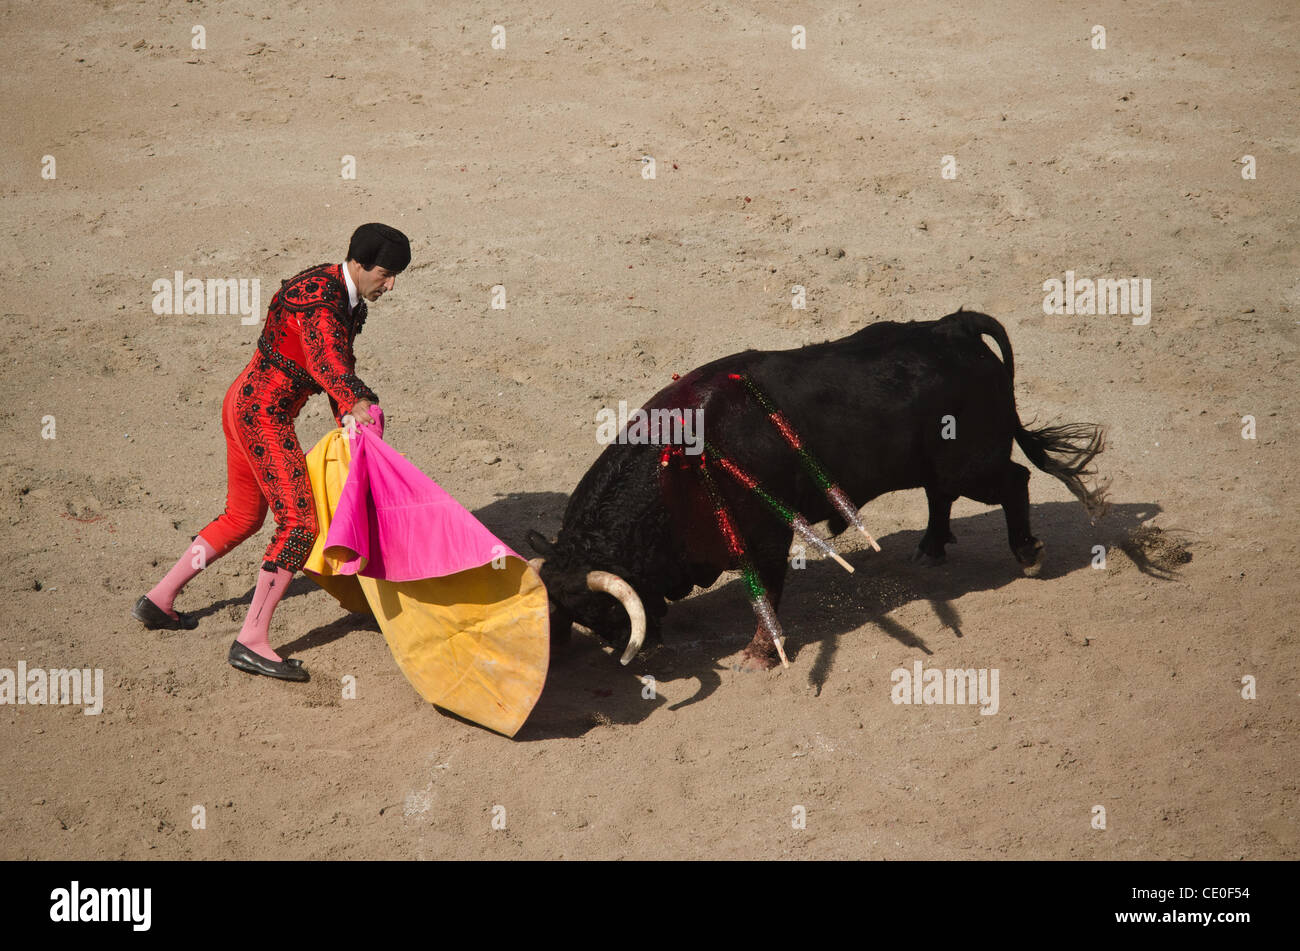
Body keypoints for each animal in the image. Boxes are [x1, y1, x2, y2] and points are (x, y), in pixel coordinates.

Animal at [527, 311, 1107, 670]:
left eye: (602, 611)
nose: (638, 654)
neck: (675, 473)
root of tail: (955, 327)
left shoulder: (766, 537)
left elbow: (767, 589)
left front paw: (761, 655)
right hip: (940, 464)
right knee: (938, 493)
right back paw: (930, 548)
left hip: (972, 464)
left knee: (1013, 481)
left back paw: (1027, 554)